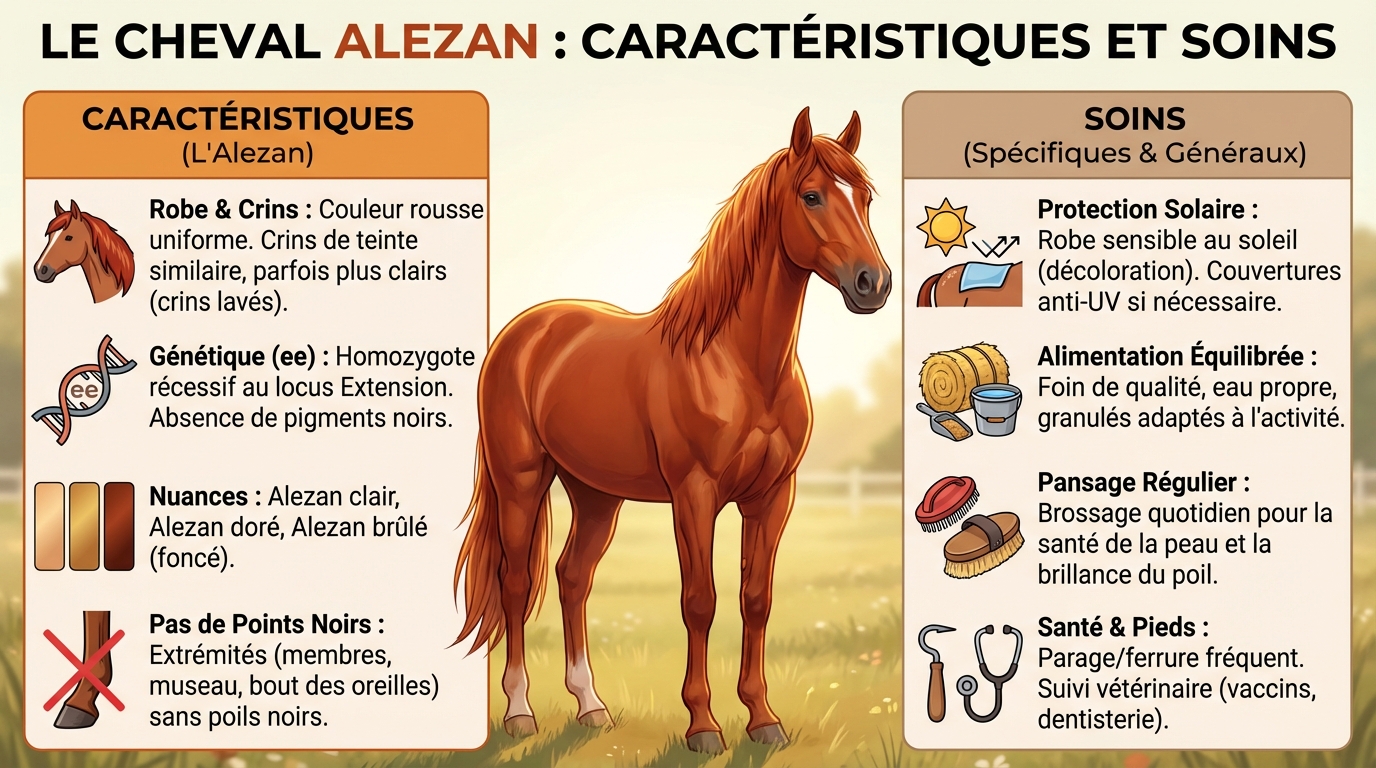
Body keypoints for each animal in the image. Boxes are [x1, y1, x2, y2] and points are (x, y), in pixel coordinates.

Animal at [453, 107, 890, 753]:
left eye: (864, 198)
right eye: (811, 195)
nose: (873, 284)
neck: (739, 364)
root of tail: (522, 332)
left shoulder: (772, 497)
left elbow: (756, 599)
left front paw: (763, 719)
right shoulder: (695, 494)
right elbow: (700, 602)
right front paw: (703, 725)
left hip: (596, 493)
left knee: (572, 577)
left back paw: (590, 706)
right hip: (521, 481)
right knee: (515, 581)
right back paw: (519, 711)